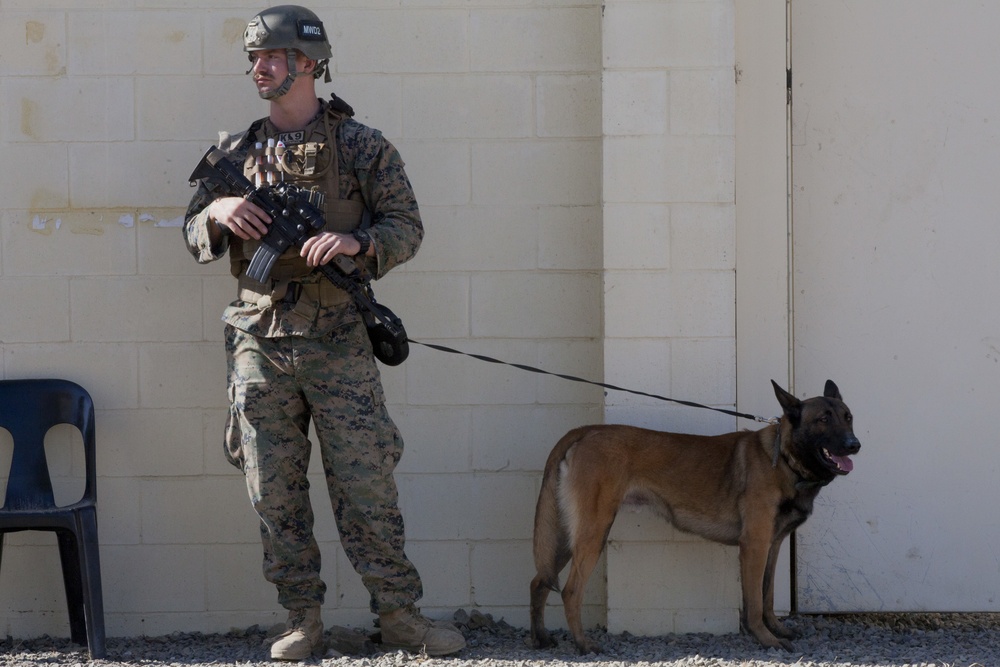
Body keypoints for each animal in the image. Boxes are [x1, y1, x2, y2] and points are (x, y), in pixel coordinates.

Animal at [532, 380, 860, 652]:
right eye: (823, 420)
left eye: (848, 417)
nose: (855, 445)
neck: (784, 459)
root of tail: (586, 430)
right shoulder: (754, 545)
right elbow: (754, 603)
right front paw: (766, 639)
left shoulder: (773, 546)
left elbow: (767, 596)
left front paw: (777, 629)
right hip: (593, 534)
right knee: (570, 591)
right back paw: (583, 645)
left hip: (568, 538)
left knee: (539, 582)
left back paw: (541, 639)